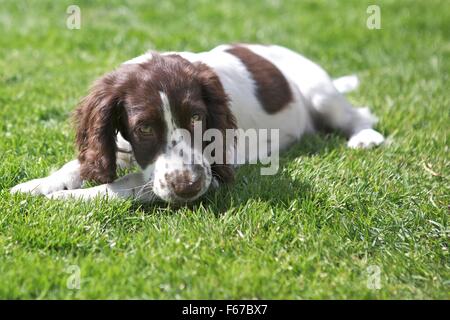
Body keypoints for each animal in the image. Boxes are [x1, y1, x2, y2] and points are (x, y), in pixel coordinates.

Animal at [10, 43, 384, 202]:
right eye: (144, 128)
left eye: (197, 117)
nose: (187, 187)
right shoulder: (118, 142)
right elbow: (78, 164)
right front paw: (38, 185)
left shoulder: (214, 174)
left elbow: (126, 186)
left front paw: (65, 200)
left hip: (320, 92)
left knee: (359, 114)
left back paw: (366, 137)